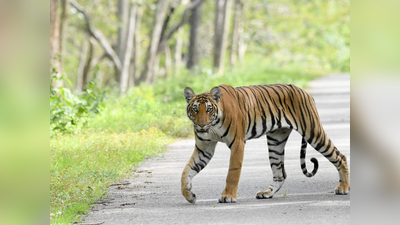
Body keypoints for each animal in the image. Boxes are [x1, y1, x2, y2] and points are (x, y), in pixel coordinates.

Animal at [181, 84, 350, 204]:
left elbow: (232, 173)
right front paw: (189, 195)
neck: (213, 125)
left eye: (209, 109)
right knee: (280, 173)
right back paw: (267, 193)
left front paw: (228, 196)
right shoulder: (204, 148)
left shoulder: (237, 144)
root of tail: (305, 92)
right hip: (276, 141)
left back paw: (343, 188)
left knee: (339, 156)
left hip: (313, 132)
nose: (201, 125)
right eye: (195, 109)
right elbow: (187, 171)